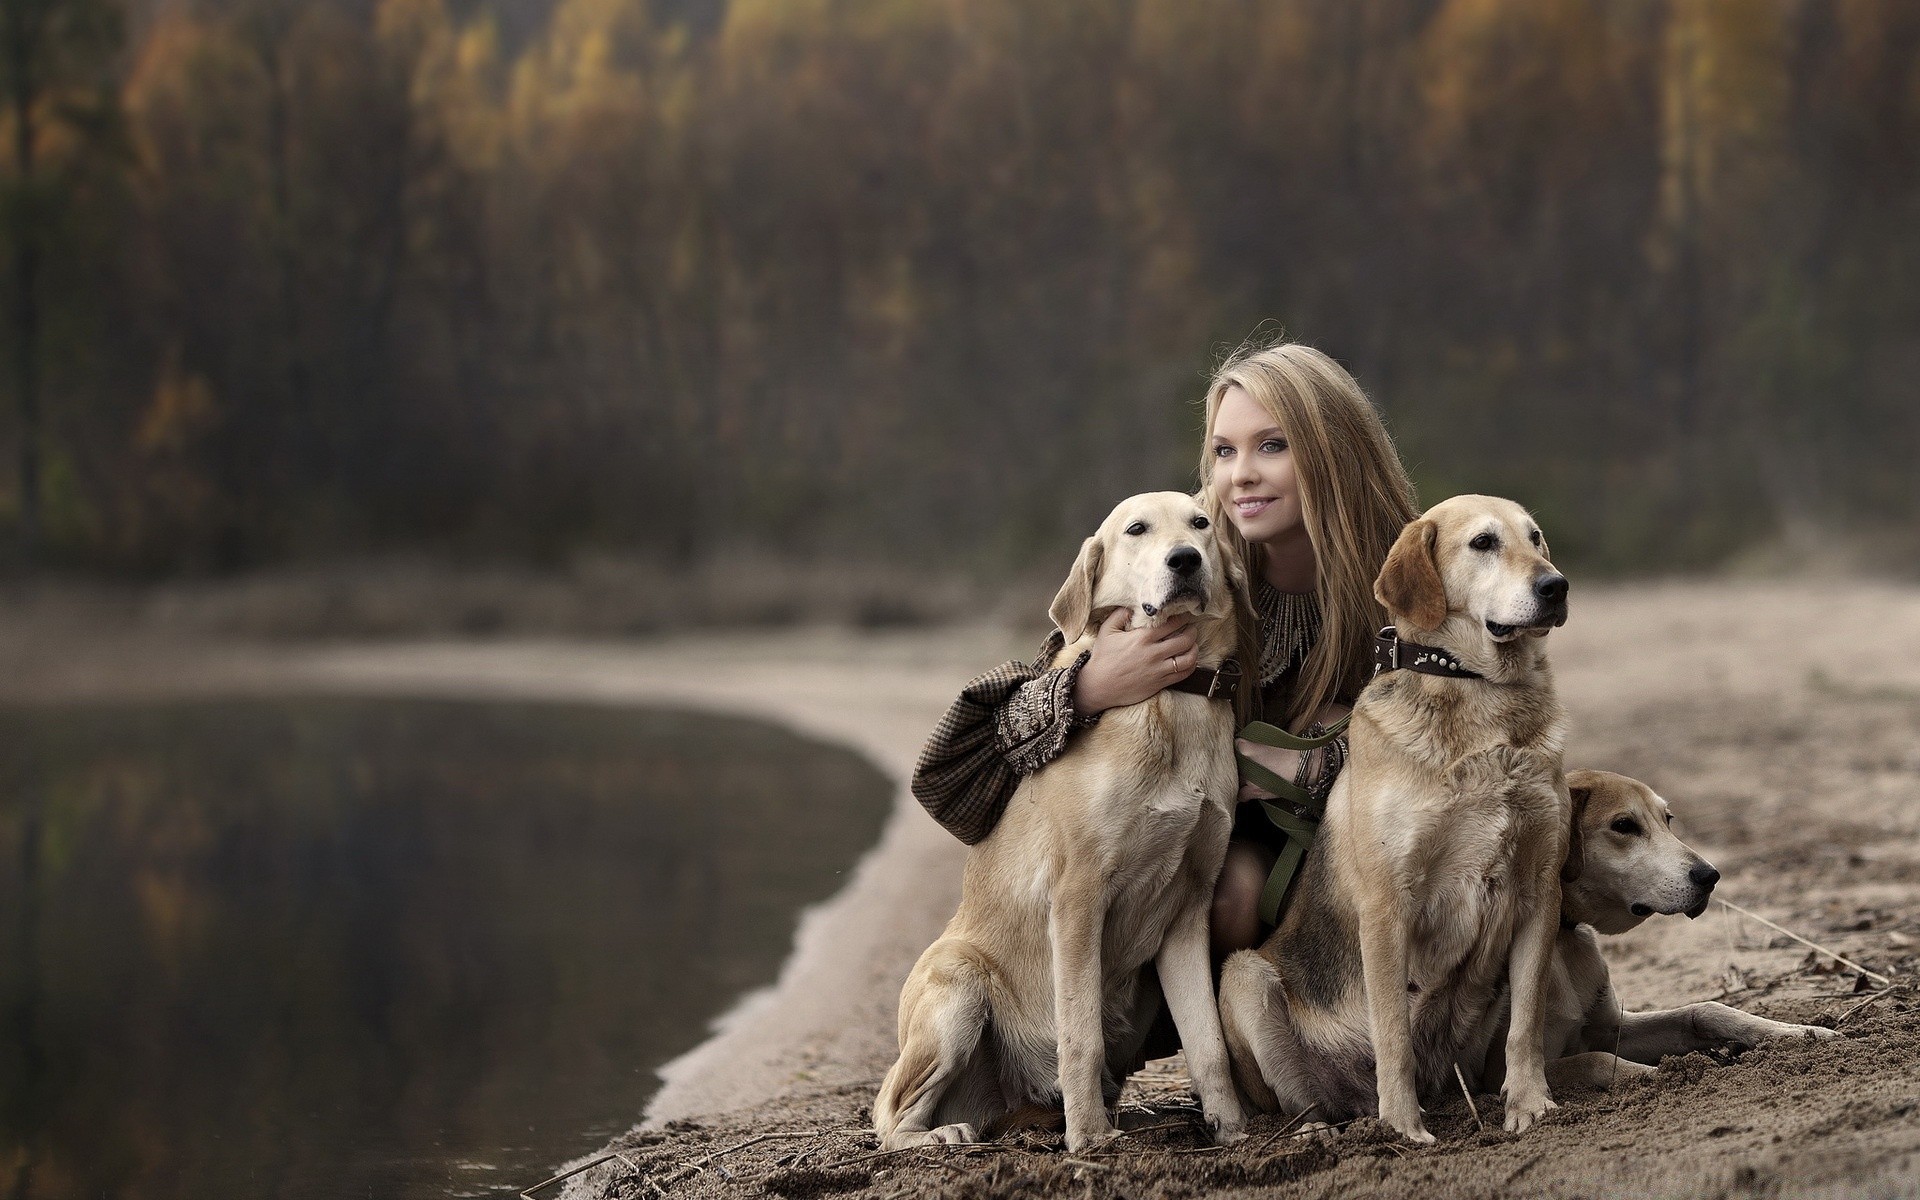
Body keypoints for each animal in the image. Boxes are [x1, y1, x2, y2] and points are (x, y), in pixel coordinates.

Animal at [879, 489, 1251, 1152]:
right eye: (1137, 529)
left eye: (1201, 523)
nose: (1185, 559)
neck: (1170, 699)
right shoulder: (1078, 897)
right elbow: (1080, 1037)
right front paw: (1089, 1139)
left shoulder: (1188, 913)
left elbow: (1208, 1047)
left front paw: (1232, 1131)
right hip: (958, 987)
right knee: (890, 1115)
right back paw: (940, 1136)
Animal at [1213, 495, 1574, 1144]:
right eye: (1483, 543)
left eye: (1535, 539)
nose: (1555, 586)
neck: (1479, 692)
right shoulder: (1388, 904)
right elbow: (1393, 1036)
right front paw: (1404, 1128)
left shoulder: (1539, 892)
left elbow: (1527, 1024)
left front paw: (1530, 1103)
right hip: (1245, 978)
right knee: (1304, 1099)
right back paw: (1324, 1132)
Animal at [1474, 764, 1835, 1090]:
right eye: (1623, 825)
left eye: (1668, 819)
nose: (1710, 876)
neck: (1564, 936)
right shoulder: (1495, 1076)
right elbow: (1594, 1059)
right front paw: (1670, 1073)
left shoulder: (1613, 1029)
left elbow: (1706, 1009)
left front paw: (1798, 1032)